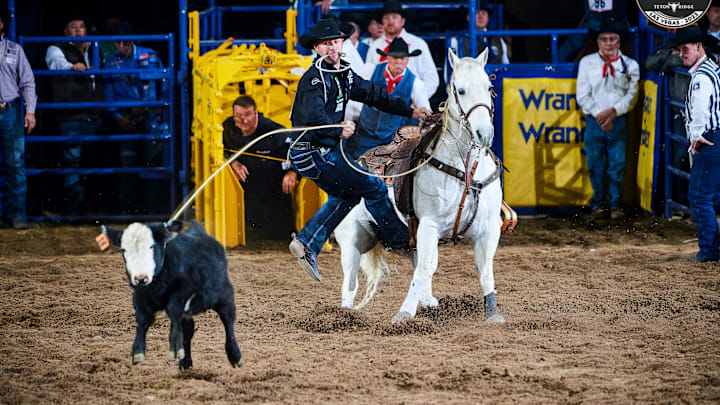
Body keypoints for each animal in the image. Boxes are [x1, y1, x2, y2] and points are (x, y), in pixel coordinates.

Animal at [101, 219, 243, 368]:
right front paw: (137, 352)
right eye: (124, 249)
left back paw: (235, 355)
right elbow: (141, 320)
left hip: (224, 295)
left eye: (151, 246)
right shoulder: (139, 297)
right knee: (188, 329)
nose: (140, 278)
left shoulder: (181, 294)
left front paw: (175, 347)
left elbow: (173, 310)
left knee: (228, 319)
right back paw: (185, 362)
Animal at [334, 48, 506, 322]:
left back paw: (428, 300)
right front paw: (404, 313)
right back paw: (344, 315)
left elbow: (485, 270)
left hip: (400, 236)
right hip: (352, 238)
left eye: (489, 87)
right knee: (350, 283)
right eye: (460, 90)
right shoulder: (428, 226)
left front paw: (492, 313)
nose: (484, 134)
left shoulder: (488, 229)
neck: (465, 169)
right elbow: (425, 267)